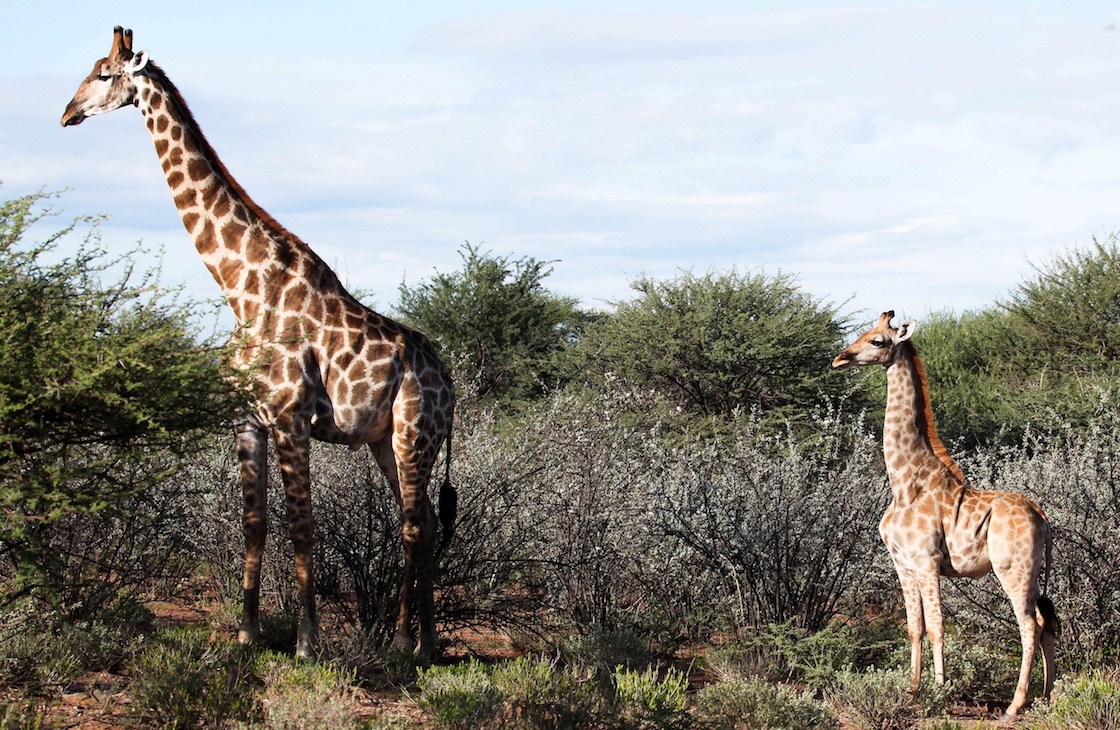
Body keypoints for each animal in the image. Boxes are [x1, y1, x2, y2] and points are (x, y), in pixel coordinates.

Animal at [60, 25, 454, 658]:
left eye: (103, 74)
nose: (67, 113)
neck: (241, 289)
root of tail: (451, 384)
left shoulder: (291, 417)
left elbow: (302, 524)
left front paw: (306, 641)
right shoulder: (246, 419)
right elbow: (255, 522)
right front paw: (246, 633)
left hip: (415, 434)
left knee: (416, 524)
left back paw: (404, 642)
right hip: (384, 440)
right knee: (424, 523)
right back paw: (425, 641)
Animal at [833, 309, 1057, 716]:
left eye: (877, 340)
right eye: (864, 332)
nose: (840, 358)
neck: (904, 482)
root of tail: (1042, 517)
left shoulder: (926, 560)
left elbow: (937, 625)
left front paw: (938, 691)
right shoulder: (902, 563)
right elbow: (914, 627)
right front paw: (911, 689)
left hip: (1013, 569)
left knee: (1029, 624)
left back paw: (1015, 705)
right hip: (1032, 573)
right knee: (1046, 621)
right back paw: (1046, 696)